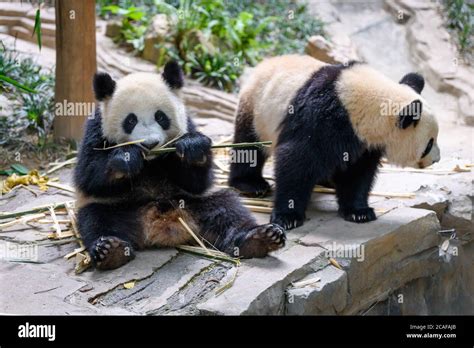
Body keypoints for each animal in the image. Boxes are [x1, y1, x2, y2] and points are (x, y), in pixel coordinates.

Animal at [75, 61, 286, 270]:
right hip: (119, 207)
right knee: (97, 219)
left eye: (161, 117)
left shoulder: (187, 125)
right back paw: (111, 249)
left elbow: (197, 181)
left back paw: (259, 239)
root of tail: (164, 225)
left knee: (228, 210)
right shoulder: (96, 130)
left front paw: (193, 148)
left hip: (197, 202)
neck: (151, 161)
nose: (150, 144)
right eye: (131, 120)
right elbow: (89, 176)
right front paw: (127, 157)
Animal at [230, 55, 440, 231]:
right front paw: (288, 216)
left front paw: (358, 212)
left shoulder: (363, 140)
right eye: (429, 144)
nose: (436, 159)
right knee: (248, 146)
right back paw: (251, 184)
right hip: (257, 109)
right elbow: (296, 160)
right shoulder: (321, 117)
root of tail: (264, 63)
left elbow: (358, 172)